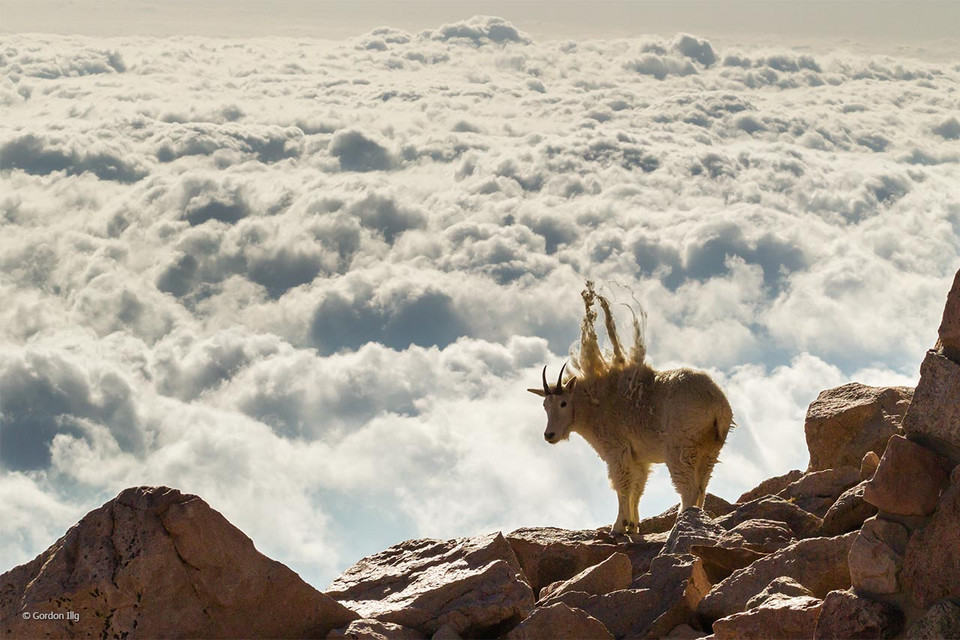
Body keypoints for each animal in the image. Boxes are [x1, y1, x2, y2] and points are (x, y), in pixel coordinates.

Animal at [528, 282, 732, 536]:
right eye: (544, 405)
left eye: (563, 403)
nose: (550, 435)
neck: (595, 404)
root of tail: (718, 405)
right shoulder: (638, 457)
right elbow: (637, 487)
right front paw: (633, 525)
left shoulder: (617, 450)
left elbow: (622, 485)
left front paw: (618, 527)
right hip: (710, 449)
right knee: (702, 486)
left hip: (682, 448)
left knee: (689, 488)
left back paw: (680, 525)